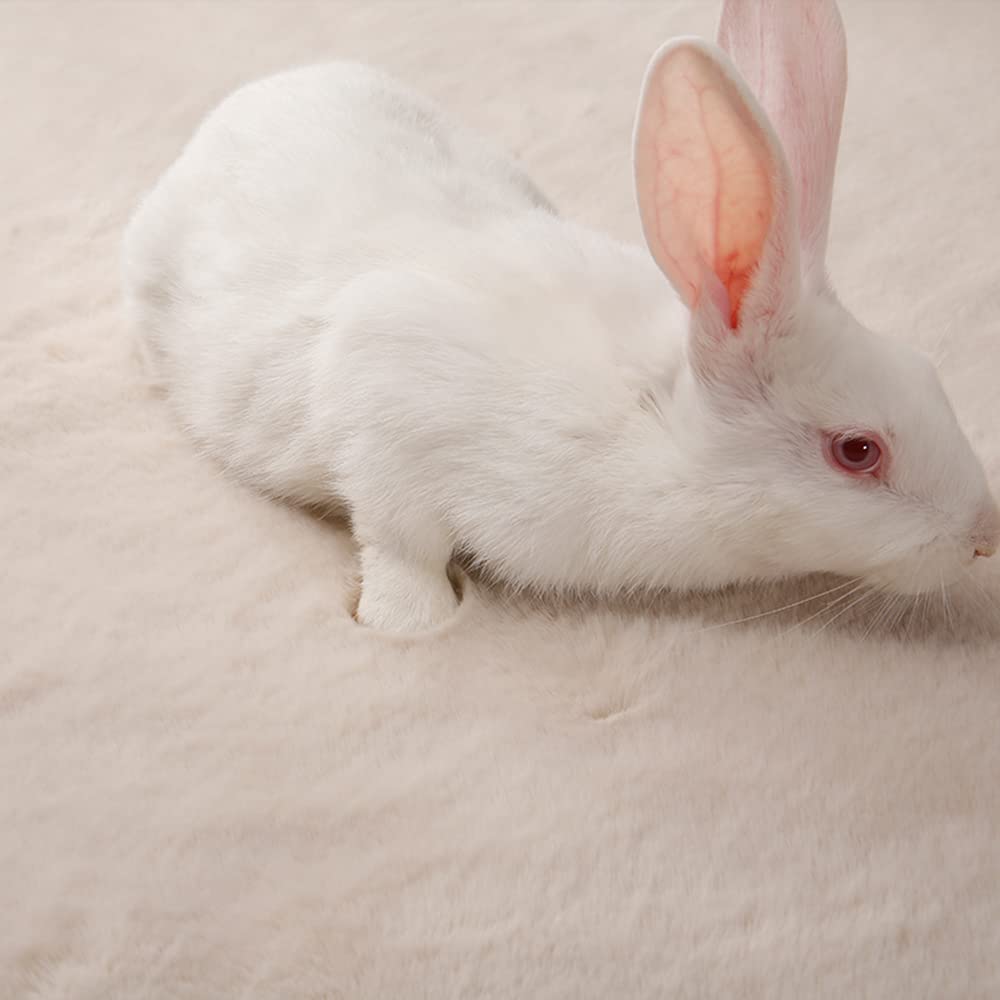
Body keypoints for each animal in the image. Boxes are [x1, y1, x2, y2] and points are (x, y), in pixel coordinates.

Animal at [123, 0, 999, 633]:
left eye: (931, 372)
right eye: (858, 451)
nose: (984, 537)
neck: (647, 418)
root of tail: (259, 93)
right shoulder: (383, 406)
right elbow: (400, 535)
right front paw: (413, 621)